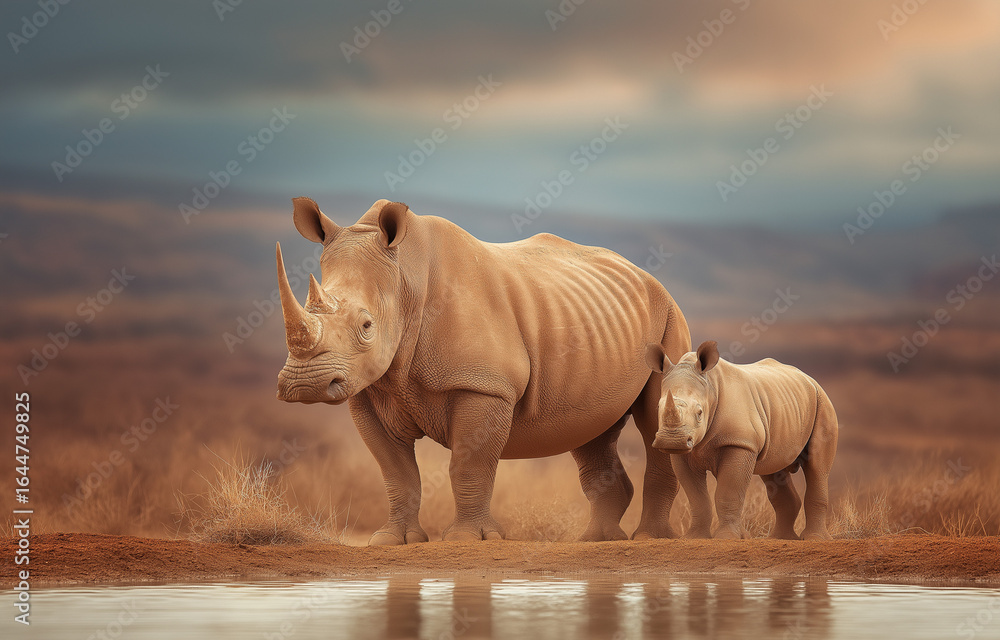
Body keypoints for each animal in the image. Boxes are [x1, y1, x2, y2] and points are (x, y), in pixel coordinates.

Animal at [275, 197, 691, 544]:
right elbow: (395, 471)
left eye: (366, 326)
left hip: (670, 317)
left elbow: (468, 464)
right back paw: (596, 540)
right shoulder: (367, 390)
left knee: (655, 416)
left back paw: (650, 538)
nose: (304, 385)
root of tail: (649, 278)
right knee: (593, 430)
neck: (404, 279)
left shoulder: (484, 385)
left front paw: (467, 539)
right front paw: (392, 540)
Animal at [644, 340, 838, 540]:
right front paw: (694, 537)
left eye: (699, 413)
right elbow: (697, 497)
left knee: (817, 467)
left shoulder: (740, 443)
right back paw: (780, 538)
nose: (671, 441)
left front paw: (726, 538)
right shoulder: (684, 453)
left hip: (823, 404)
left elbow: (728, 492)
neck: (710, 387)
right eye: (657, 409)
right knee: (773, 469)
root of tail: (811, 380)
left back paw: (815, 538)